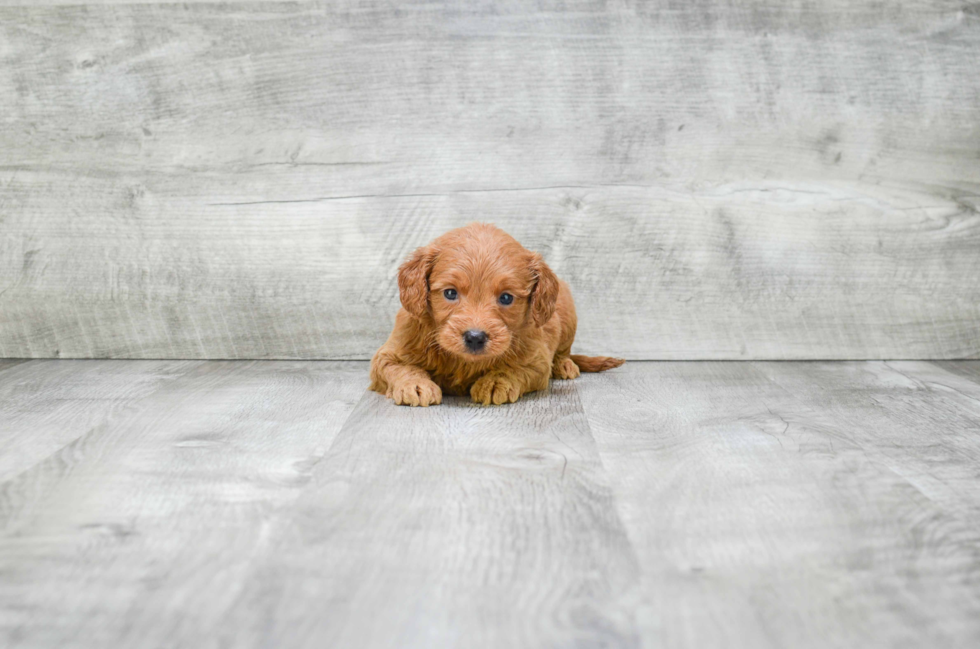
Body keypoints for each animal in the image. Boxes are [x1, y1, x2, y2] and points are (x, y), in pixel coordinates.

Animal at [372, 223, 624, 404]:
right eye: (450, 293)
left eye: (506, 298)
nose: (475, 337)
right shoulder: (388, 354)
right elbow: (399, 367)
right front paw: (415, 386)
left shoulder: (537, 360)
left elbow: (514, 368)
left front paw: (495, 383)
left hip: (568, 312)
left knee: (564, 350)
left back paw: (564, 365)